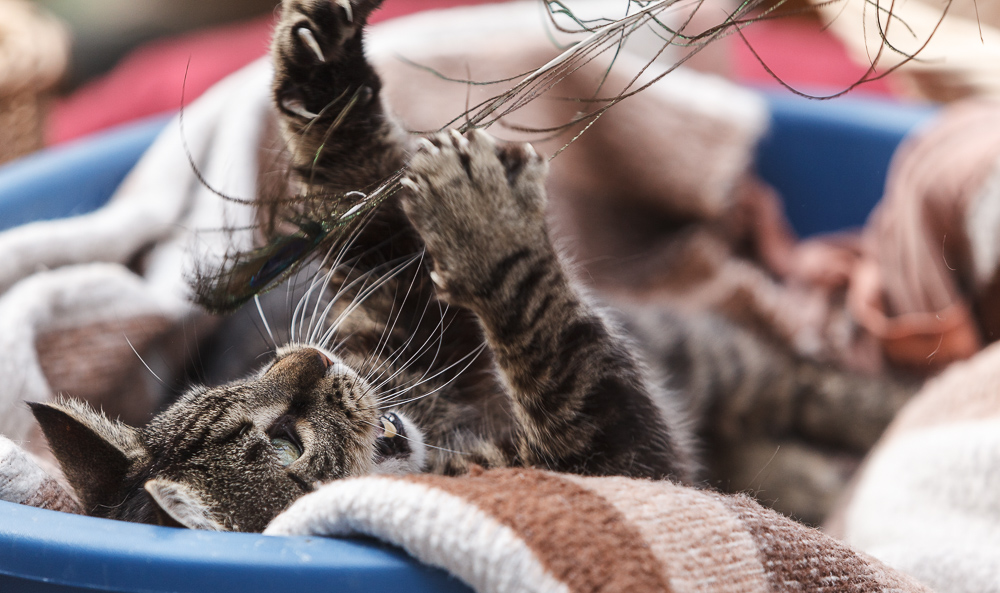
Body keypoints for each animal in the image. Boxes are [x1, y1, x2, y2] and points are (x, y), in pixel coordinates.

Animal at [31, 0, 912, 532]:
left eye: (243, 385)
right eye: (283, 445)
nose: (305, 358)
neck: (444, 440)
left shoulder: (404, 321)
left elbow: (364, 192)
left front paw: (319, 67)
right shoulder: (611, 465)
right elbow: (553, 343)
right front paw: (487, 229)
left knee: (806, 384)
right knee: (787, 397)